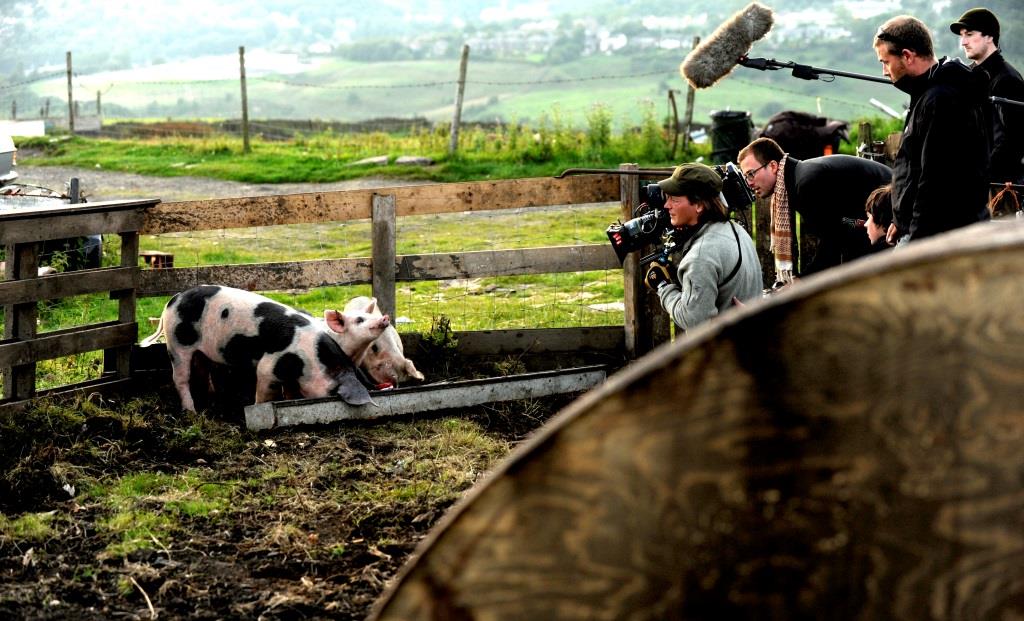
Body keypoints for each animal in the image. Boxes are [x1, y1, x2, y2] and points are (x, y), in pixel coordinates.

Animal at [140, 286, 387, 414]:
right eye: (333, 392)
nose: (385, 318)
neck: (312, 361)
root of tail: (172, 300)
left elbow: (289, 391)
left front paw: (290, 399)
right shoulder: (269, 366)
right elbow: (264, 392)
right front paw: (258, 408)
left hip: (201, 350)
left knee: (202, 370)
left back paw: (211, 398)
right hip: (177, 344)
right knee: (180, 378)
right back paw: (191, 412)